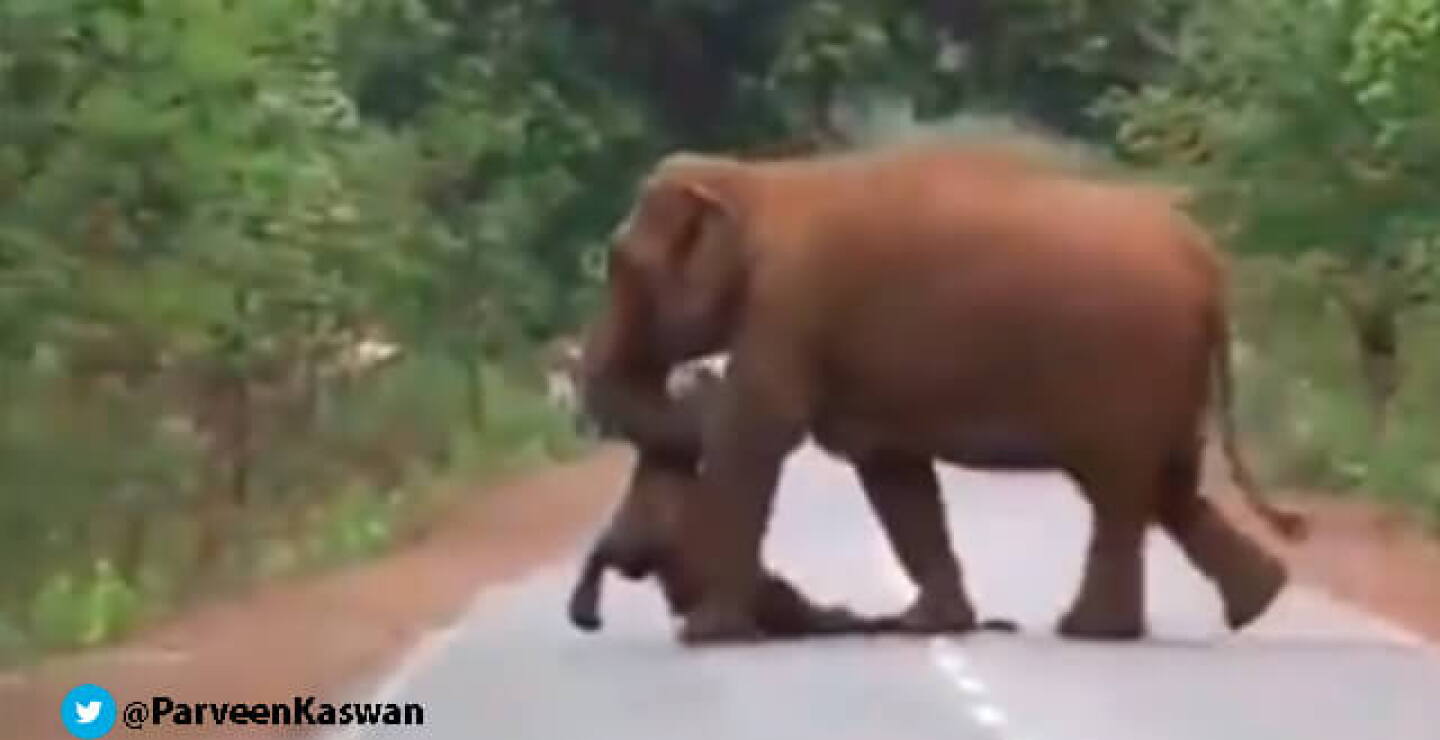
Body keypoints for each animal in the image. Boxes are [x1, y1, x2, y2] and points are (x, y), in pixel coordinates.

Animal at [579, 139, 1308, 646]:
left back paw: (1093, 632)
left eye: (622, 265)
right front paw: (932, 624)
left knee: (1120, 487)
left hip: (1128, 365)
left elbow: (757, 433)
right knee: (1166, 484)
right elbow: (891, 469)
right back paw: (1256, 603)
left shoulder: (788, 304)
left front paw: (706, 636)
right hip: (1165, 371)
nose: (693, 382)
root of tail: (1207, 264)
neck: (756, 180)